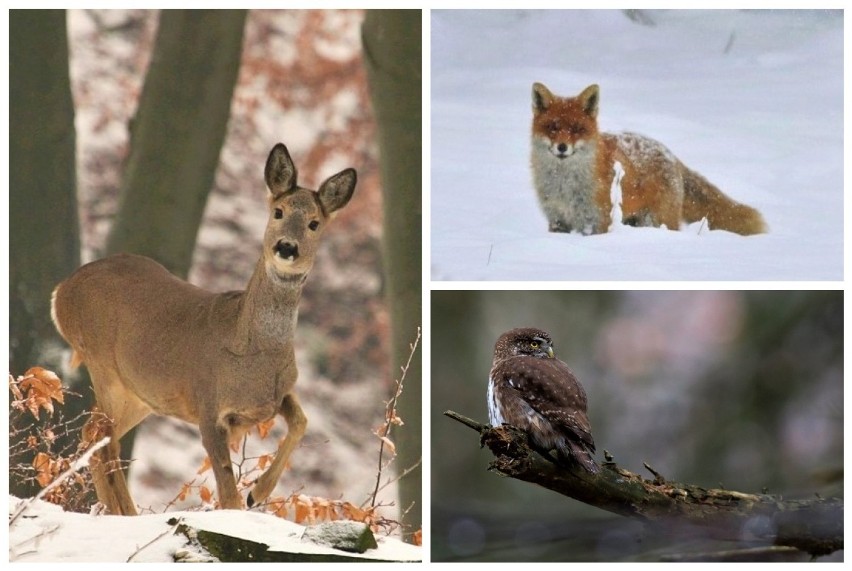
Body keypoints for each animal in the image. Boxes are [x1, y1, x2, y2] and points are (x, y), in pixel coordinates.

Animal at [50, 142, 356, 512]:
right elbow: (228, 492)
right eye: (278, 212)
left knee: (93, 434)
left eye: (314, 223)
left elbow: (301, 420)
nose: (286, 247)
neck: (251, 352)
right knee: (105, 439)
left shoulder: (275, 395)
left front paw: (258, 492)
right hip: (102, 363)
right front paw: (248, 497)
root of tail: (61, 291)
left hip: (140, 393)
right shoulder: (208, 406)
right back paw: (127, 512)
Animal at [532, 82, 764, 235]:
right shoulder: (557, 220)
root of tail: (671, 155)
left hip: (657, 221)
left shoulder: (597, 221)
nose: (562, 148)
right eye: (552, 128)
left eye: (576, 129)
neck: (565, 188)